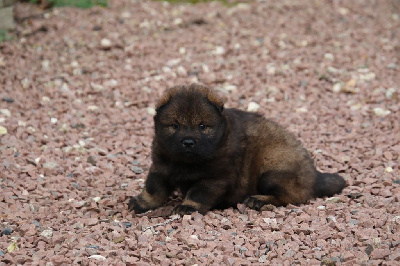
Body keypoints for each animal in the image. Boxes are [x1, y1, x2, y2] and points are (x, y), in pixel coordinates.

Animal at [127, 84, 344, 215]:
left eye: (202, 126)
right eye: (175, 125)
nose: (188, 142)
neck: (186, 162)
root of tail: (314, 175)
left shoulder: (215, 178)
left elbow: (198, 193)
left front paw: (187, 207)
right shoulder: (161, 166)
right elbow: (153, 188)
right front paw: (142, 202)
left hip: (272, 169)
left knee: (291, 197)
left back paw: (258, 200)